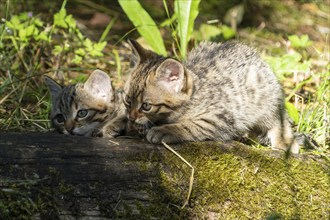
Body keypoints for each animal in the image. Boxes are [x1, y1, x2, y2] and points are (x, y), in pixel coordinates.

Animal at [122, 39, 300, 153]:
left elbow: (191, 125)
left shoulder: (221, 117)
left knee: (278, 120)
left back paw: (285, 142)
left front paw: (165, 130)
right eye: (127, 101)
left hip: (266, 99)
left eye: (146, 106)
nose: (131, 117)